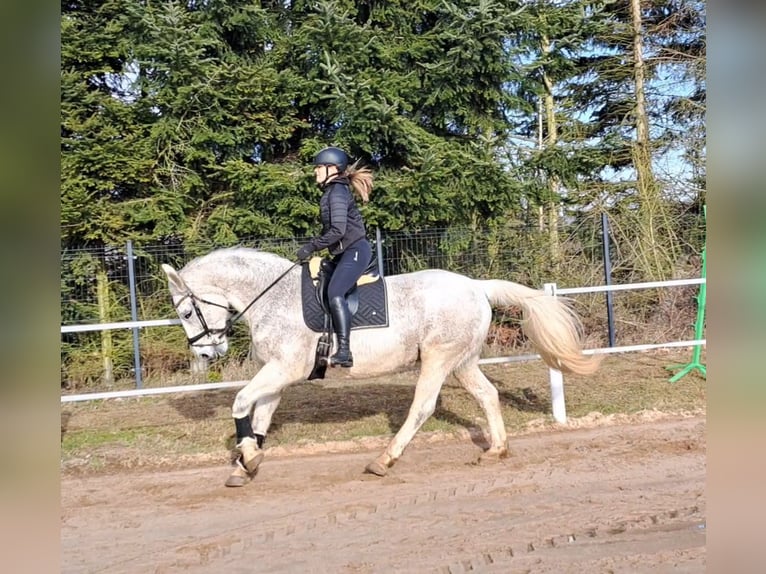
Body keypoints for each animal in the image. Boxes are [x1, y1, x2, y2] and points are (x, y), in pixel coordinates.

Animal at [162, 250, 604, 488]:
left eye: (186, 312)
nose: (207, 354)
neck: (275, 297)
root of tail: (476, 286)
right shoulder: (276, 373)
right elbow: (259, 418)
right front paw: (246, 462)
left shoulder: (286, 368)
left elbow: (241, 403)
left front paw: (247, 459)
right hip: (461, 362)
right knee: (487, 395)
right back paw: (496, 449)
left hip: (438, 359)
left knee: (422, 407)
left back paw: (384, 460)